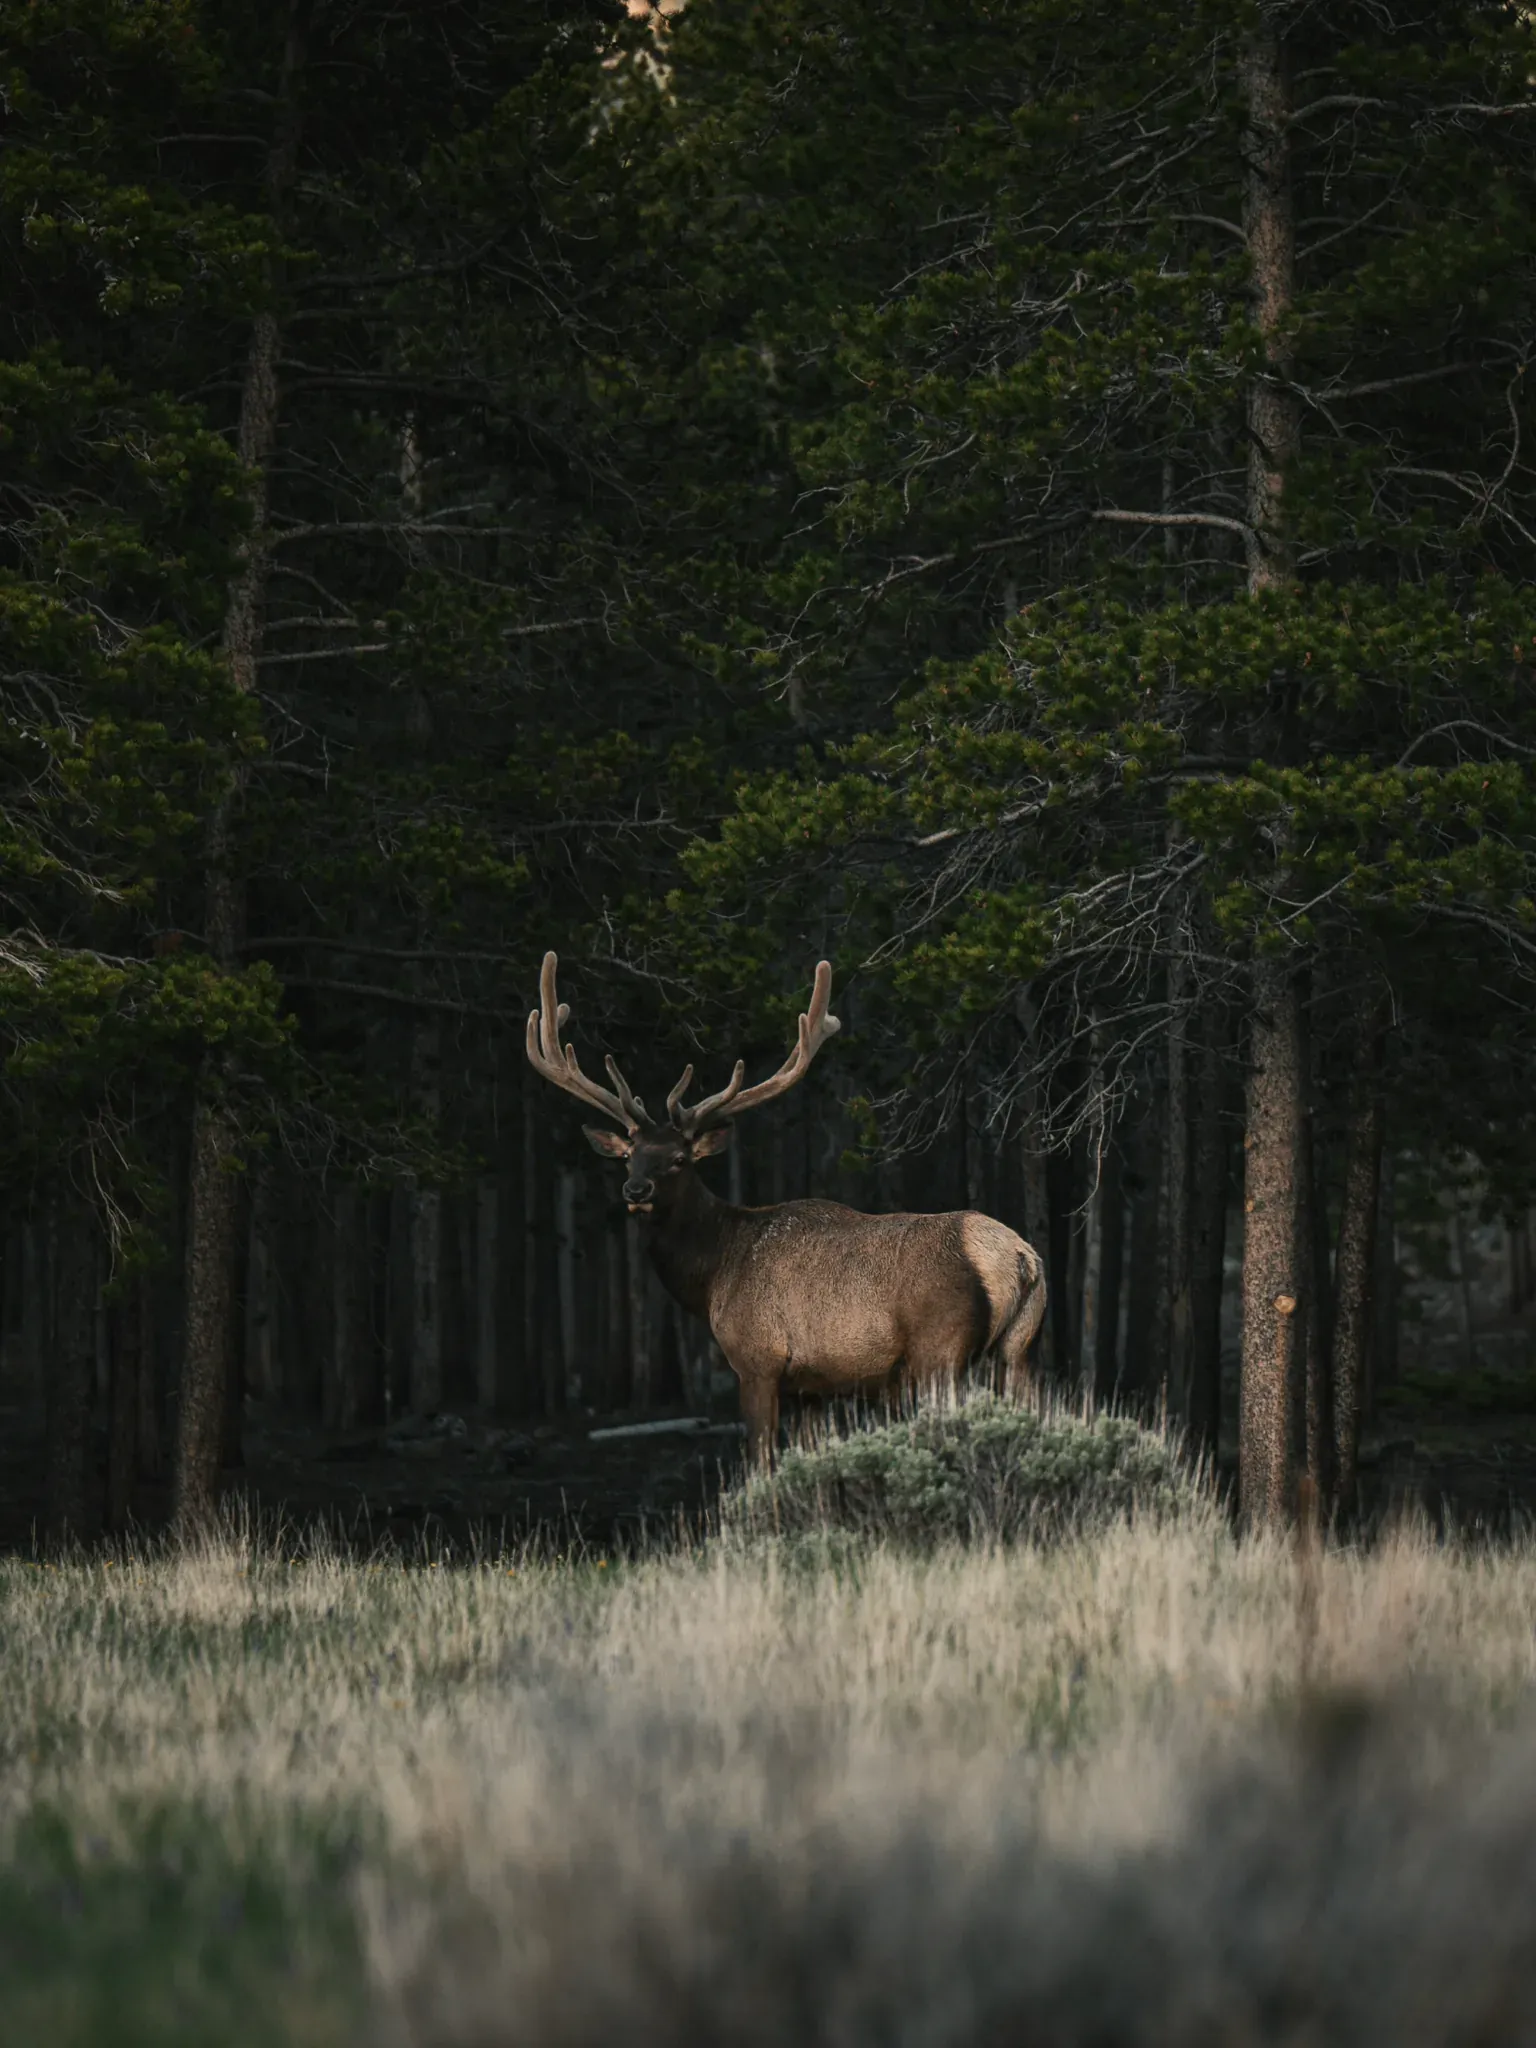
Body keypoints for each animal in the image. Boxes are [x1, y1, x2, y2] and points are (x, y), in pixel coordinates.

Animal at [526, 953, 1047, 1464]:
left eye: (678, 1159)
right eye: (628, 1156)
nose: (636, 1190)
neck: (714, 1274)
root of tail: (1017, 1259)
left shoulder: (757, 1359)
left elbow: (760, 1462)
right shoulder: (812, 1386)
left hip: (939, 1349)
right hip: (1018, 1349)